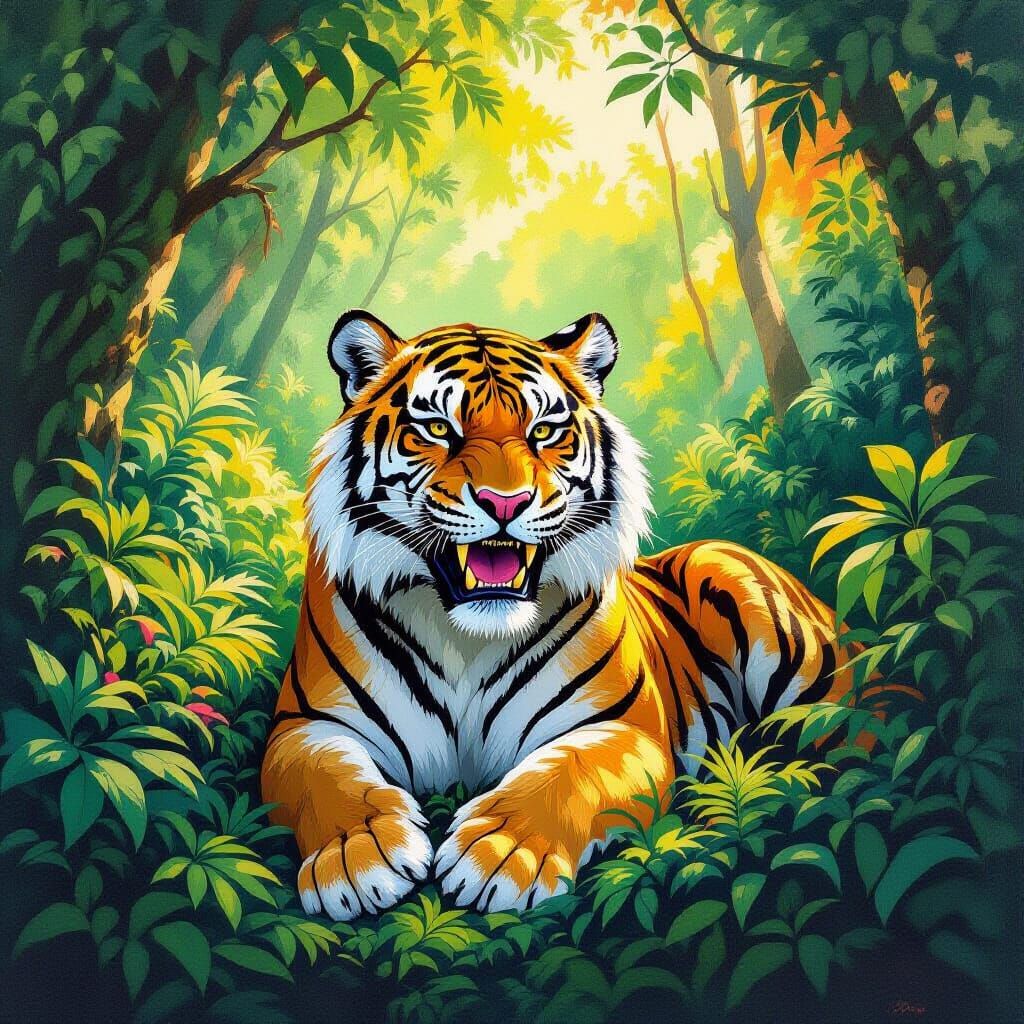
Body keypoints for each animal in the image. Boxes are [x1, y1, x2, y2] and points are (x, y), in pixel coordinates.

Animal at [261, 310, 856, 921]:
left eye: (544, 430)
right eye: (439, 428)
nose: (505, 502)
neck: (467, 638)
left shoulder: (620, 727)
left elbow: (566, 776)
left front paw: (500, 853)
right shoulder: (306, 725)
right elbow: (331, 780)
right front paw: (355, 854)